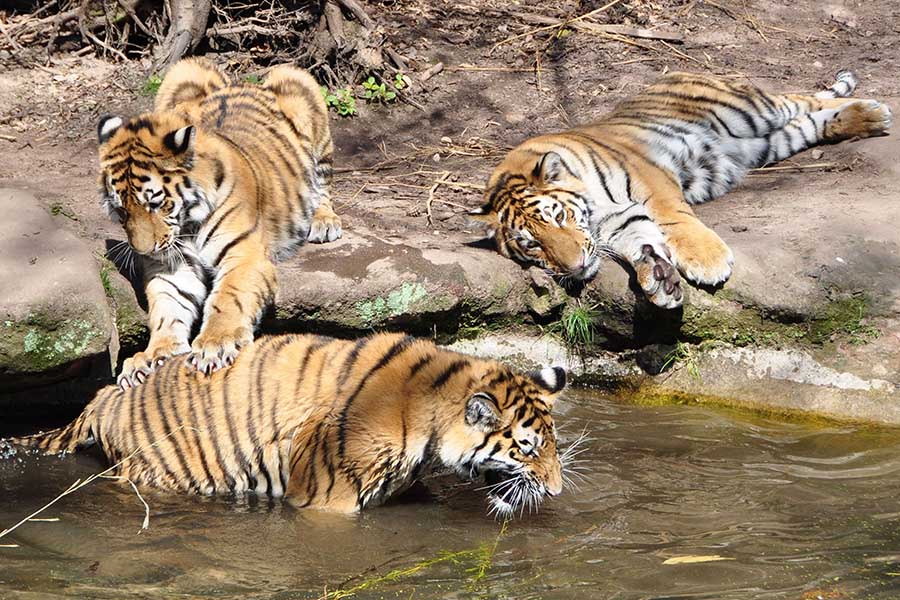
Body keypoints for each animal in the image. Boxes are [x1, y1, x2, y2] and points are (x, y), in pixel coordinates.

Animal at [98, 57, 342, 389]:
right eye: (121, 212)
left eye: (156, 204)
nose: (145, 252)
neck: (186, 223)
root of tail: (241, 83)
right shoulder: (173, 266)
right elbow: (167, 309)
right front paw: (152, 354)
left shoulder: (244, 257)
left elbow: (228, 298)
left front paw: (215, 344)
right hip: (183, 71)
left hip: (298, 83)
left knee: (323, 185)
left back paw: (323, 221)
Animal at [471, 70, 892, 308]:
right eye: (531, 244)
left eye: (558, 217)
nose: (575, 266)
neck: (595, 210)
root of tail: (677, 70)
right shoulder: (620, 220)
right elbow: (642, 240)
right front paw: (657, 277)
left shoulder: (650, 180)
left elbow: (675, 220)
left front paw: (707, 261)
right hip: (767, 143)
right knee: (809, 123)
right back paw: (863, 120)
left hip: (752, 110)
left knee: (801, 99)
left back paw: (874, 111)